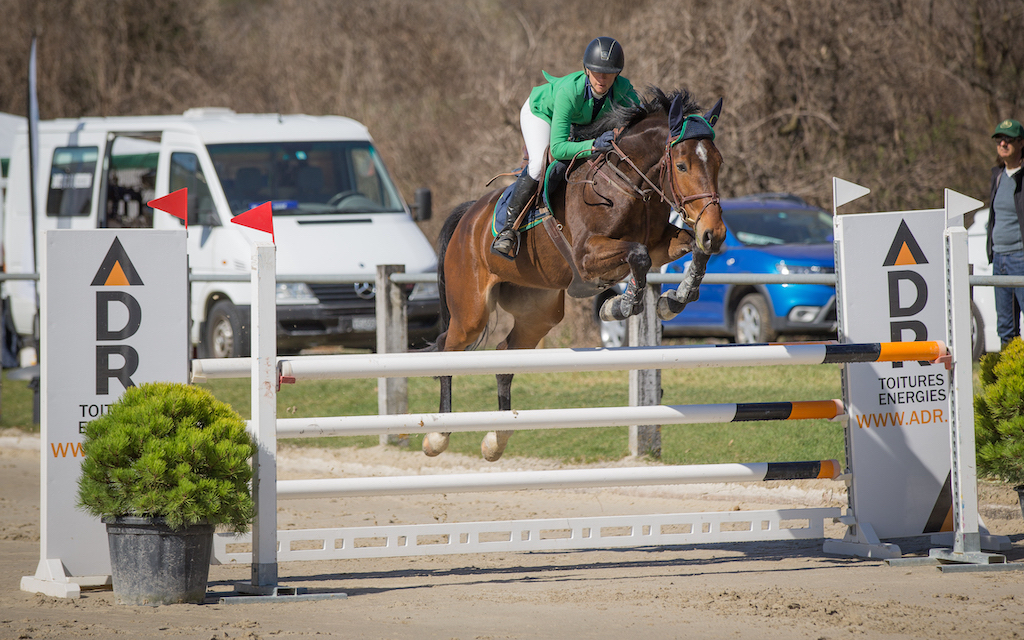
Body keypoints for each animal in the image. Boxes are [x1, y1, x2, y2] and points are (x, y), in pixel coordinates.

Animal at [423, 88, 729, 458]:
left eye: (718, 163)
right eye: (682, 165)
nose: (716, 232)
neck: (627, 182)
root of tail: (468, 218)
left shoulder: (660, 244)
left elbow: (691, 249)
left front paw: (675, 299)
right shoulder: (587, 255)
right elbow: (637, 256)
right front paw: (619, 306)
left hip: (539, 312)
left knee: (505, 352)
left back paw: (497, 439)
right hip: (471, 311)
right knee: (448, 351)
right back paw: (438, 436)